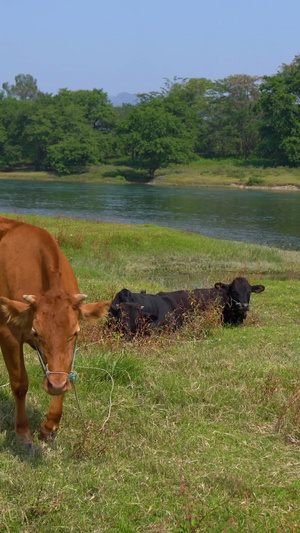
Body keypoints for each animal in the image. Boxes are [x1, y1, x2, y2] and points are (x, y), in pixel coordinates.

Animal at [0, 216, 110, 444]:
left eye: (75, 332)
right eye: (36, 333)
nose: (56, 385)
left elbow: (64, 371)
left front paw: (49, 425)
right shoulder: (7, 332)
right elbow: (20, 383)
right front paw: (23, 431)